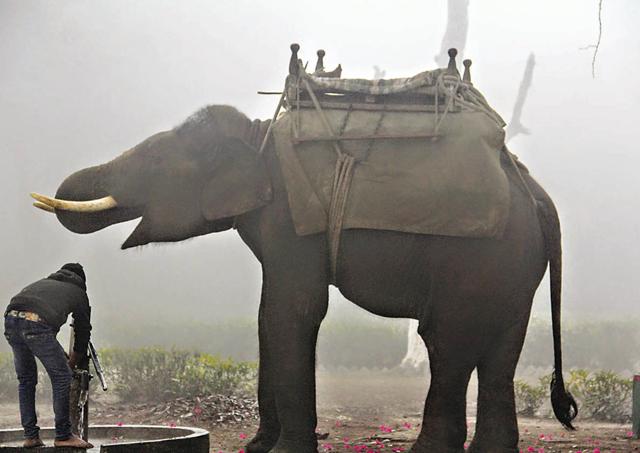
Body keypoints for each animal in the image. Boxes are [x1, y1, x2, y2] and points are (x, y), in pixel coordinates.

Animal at [31, 104, 577, 453]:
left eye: (159, 163)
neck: (258, 136)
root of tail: (538, 195)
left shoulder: (290, 226)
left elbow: (292, 310)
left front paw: (281, 452)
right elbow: (265, 317)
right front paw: (257, 447)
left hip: (473, 257)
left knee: (448, 341)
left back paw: (426, 450)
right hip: (513, 266)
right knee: (503, 348)